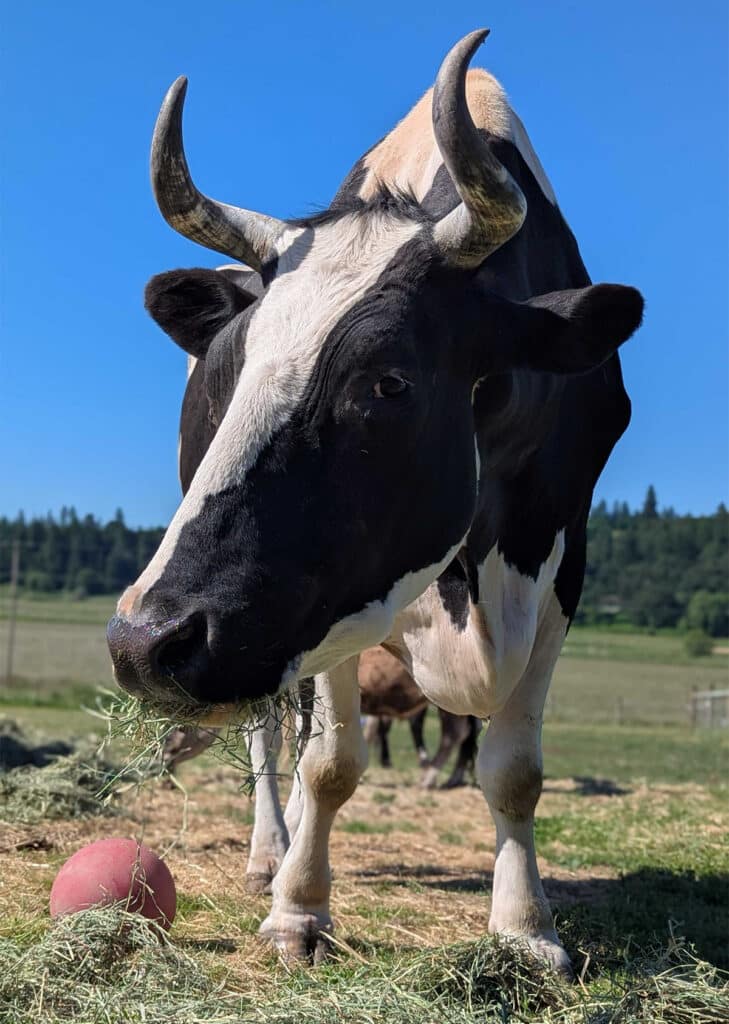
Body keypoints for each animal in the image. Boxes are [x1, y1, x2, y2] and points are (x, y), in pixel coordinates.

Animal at [107, 29, 643, 973]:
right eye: (225, 372)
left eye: (389, 381)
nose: (142, 644)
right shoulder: (327, 603)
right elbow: (329, 764)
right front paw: (298, 911)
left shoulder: (559, 561)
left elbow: (513, 767)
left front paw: (525, 929)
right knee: (271, 737)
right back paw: (270, 855)